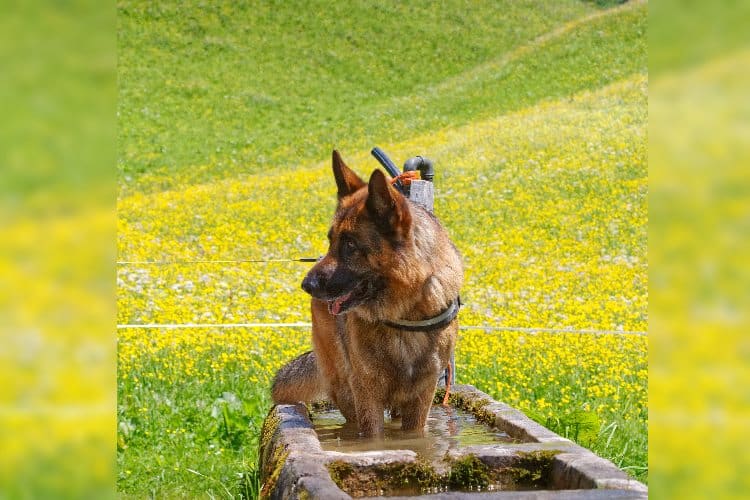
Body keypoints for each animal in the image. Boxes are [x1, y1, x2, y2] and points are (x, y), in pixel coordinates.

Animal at [274, 150, 462, 436]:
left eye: (350, 245)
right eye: (331, 241)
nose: (306, 285)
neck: (405, 314)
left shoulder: (421, 397)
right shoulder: (367, 394)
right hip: (345, 388)